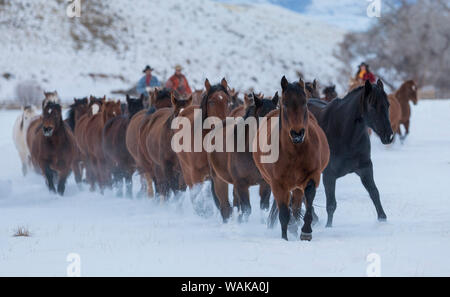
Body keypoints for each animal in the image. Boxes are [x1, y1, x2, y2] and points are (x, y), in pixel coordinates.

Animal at [207, 92, 278, 220]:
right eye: (262, 116)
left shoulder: (266, 184)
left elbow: (263, 207)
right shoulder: (241, 184)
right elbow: (246, 210)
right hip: (219, 180)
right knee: (225, 208)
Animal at [253, 75, 326, 239]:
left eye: (304, 103)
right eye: (285, 104)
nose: (297, 133)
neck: (295, 152)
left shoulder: (312, 176)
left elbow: (307, 200)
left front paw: (306, 231)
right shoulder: (277, 183)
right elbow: (284, 214)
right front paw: (285, 238)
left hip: (297, 184)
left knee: (297, 203)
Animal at [310, 78, 394, 227]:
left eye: (387, 105)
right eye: (372, 106)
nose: (388, 136)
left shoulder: (365, 168)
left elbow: (374, 193)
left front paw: (382, 219)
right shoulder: (329, 175)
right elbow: (331, 205)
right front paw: (328, 227)